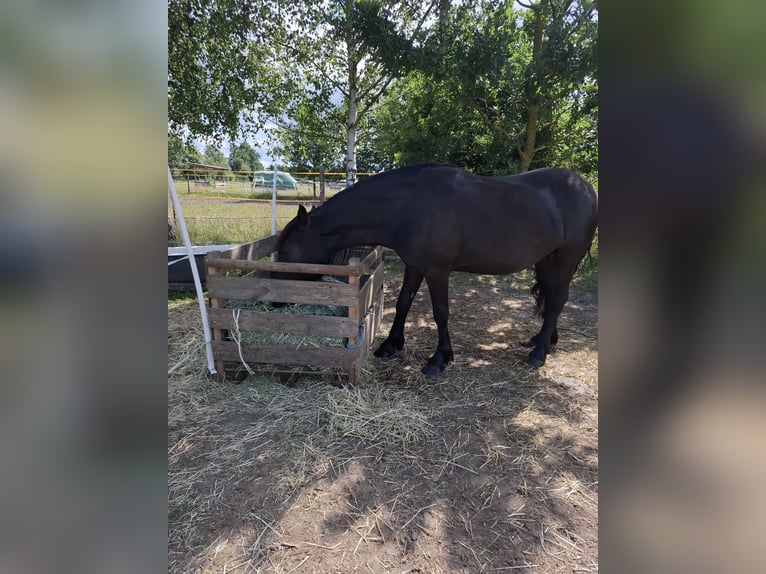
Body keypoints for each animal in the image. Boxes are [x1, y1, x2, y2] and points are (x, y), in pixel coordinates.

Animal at [276, 163, 600, 378]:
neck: (409, 206)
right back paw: (542, 341)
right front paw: (391, 345)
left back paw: (538, 354)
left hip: (566, 258)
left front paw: (439, 359)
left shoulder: (437, 271)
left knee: (557, 299)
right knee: (553, 297)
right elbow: (403, 303)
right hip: (547, 260)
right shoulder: (414, 265)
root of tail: (586, 187)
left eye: (286, 252)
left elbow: (440, 312)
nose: (276, 302)